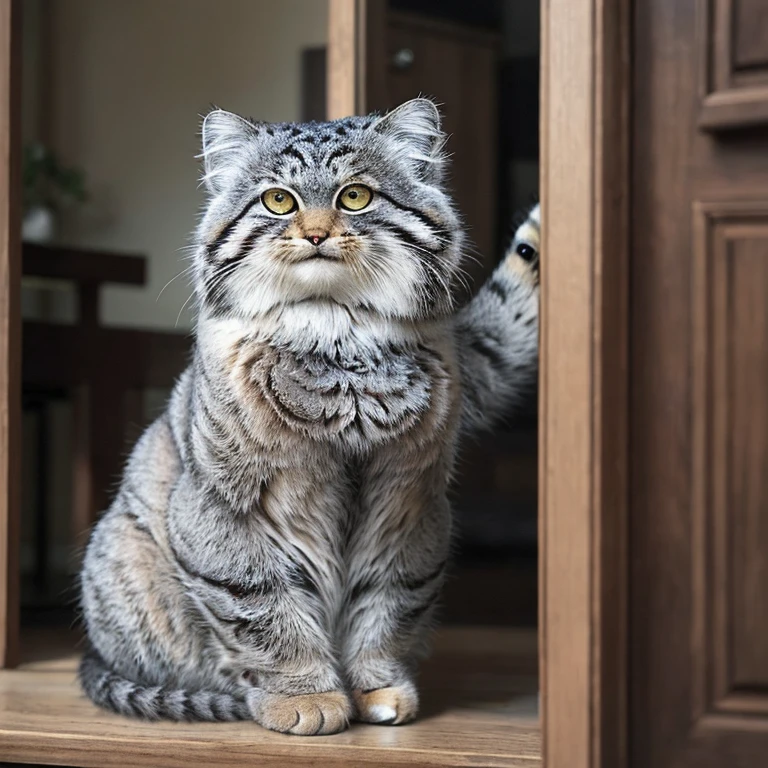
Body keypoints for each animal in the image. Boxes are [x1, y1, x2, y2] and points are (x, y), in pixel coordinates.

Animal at [75, 99, 536, 736]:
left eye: (355, 196)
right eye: (279, 200)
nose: (316, 233)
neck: (339, 347)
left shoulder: (407, 511)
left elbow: (385, 610)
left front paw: (379, 690)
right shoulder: (228, 517)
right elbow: (266, 614)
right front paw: (306, 698)